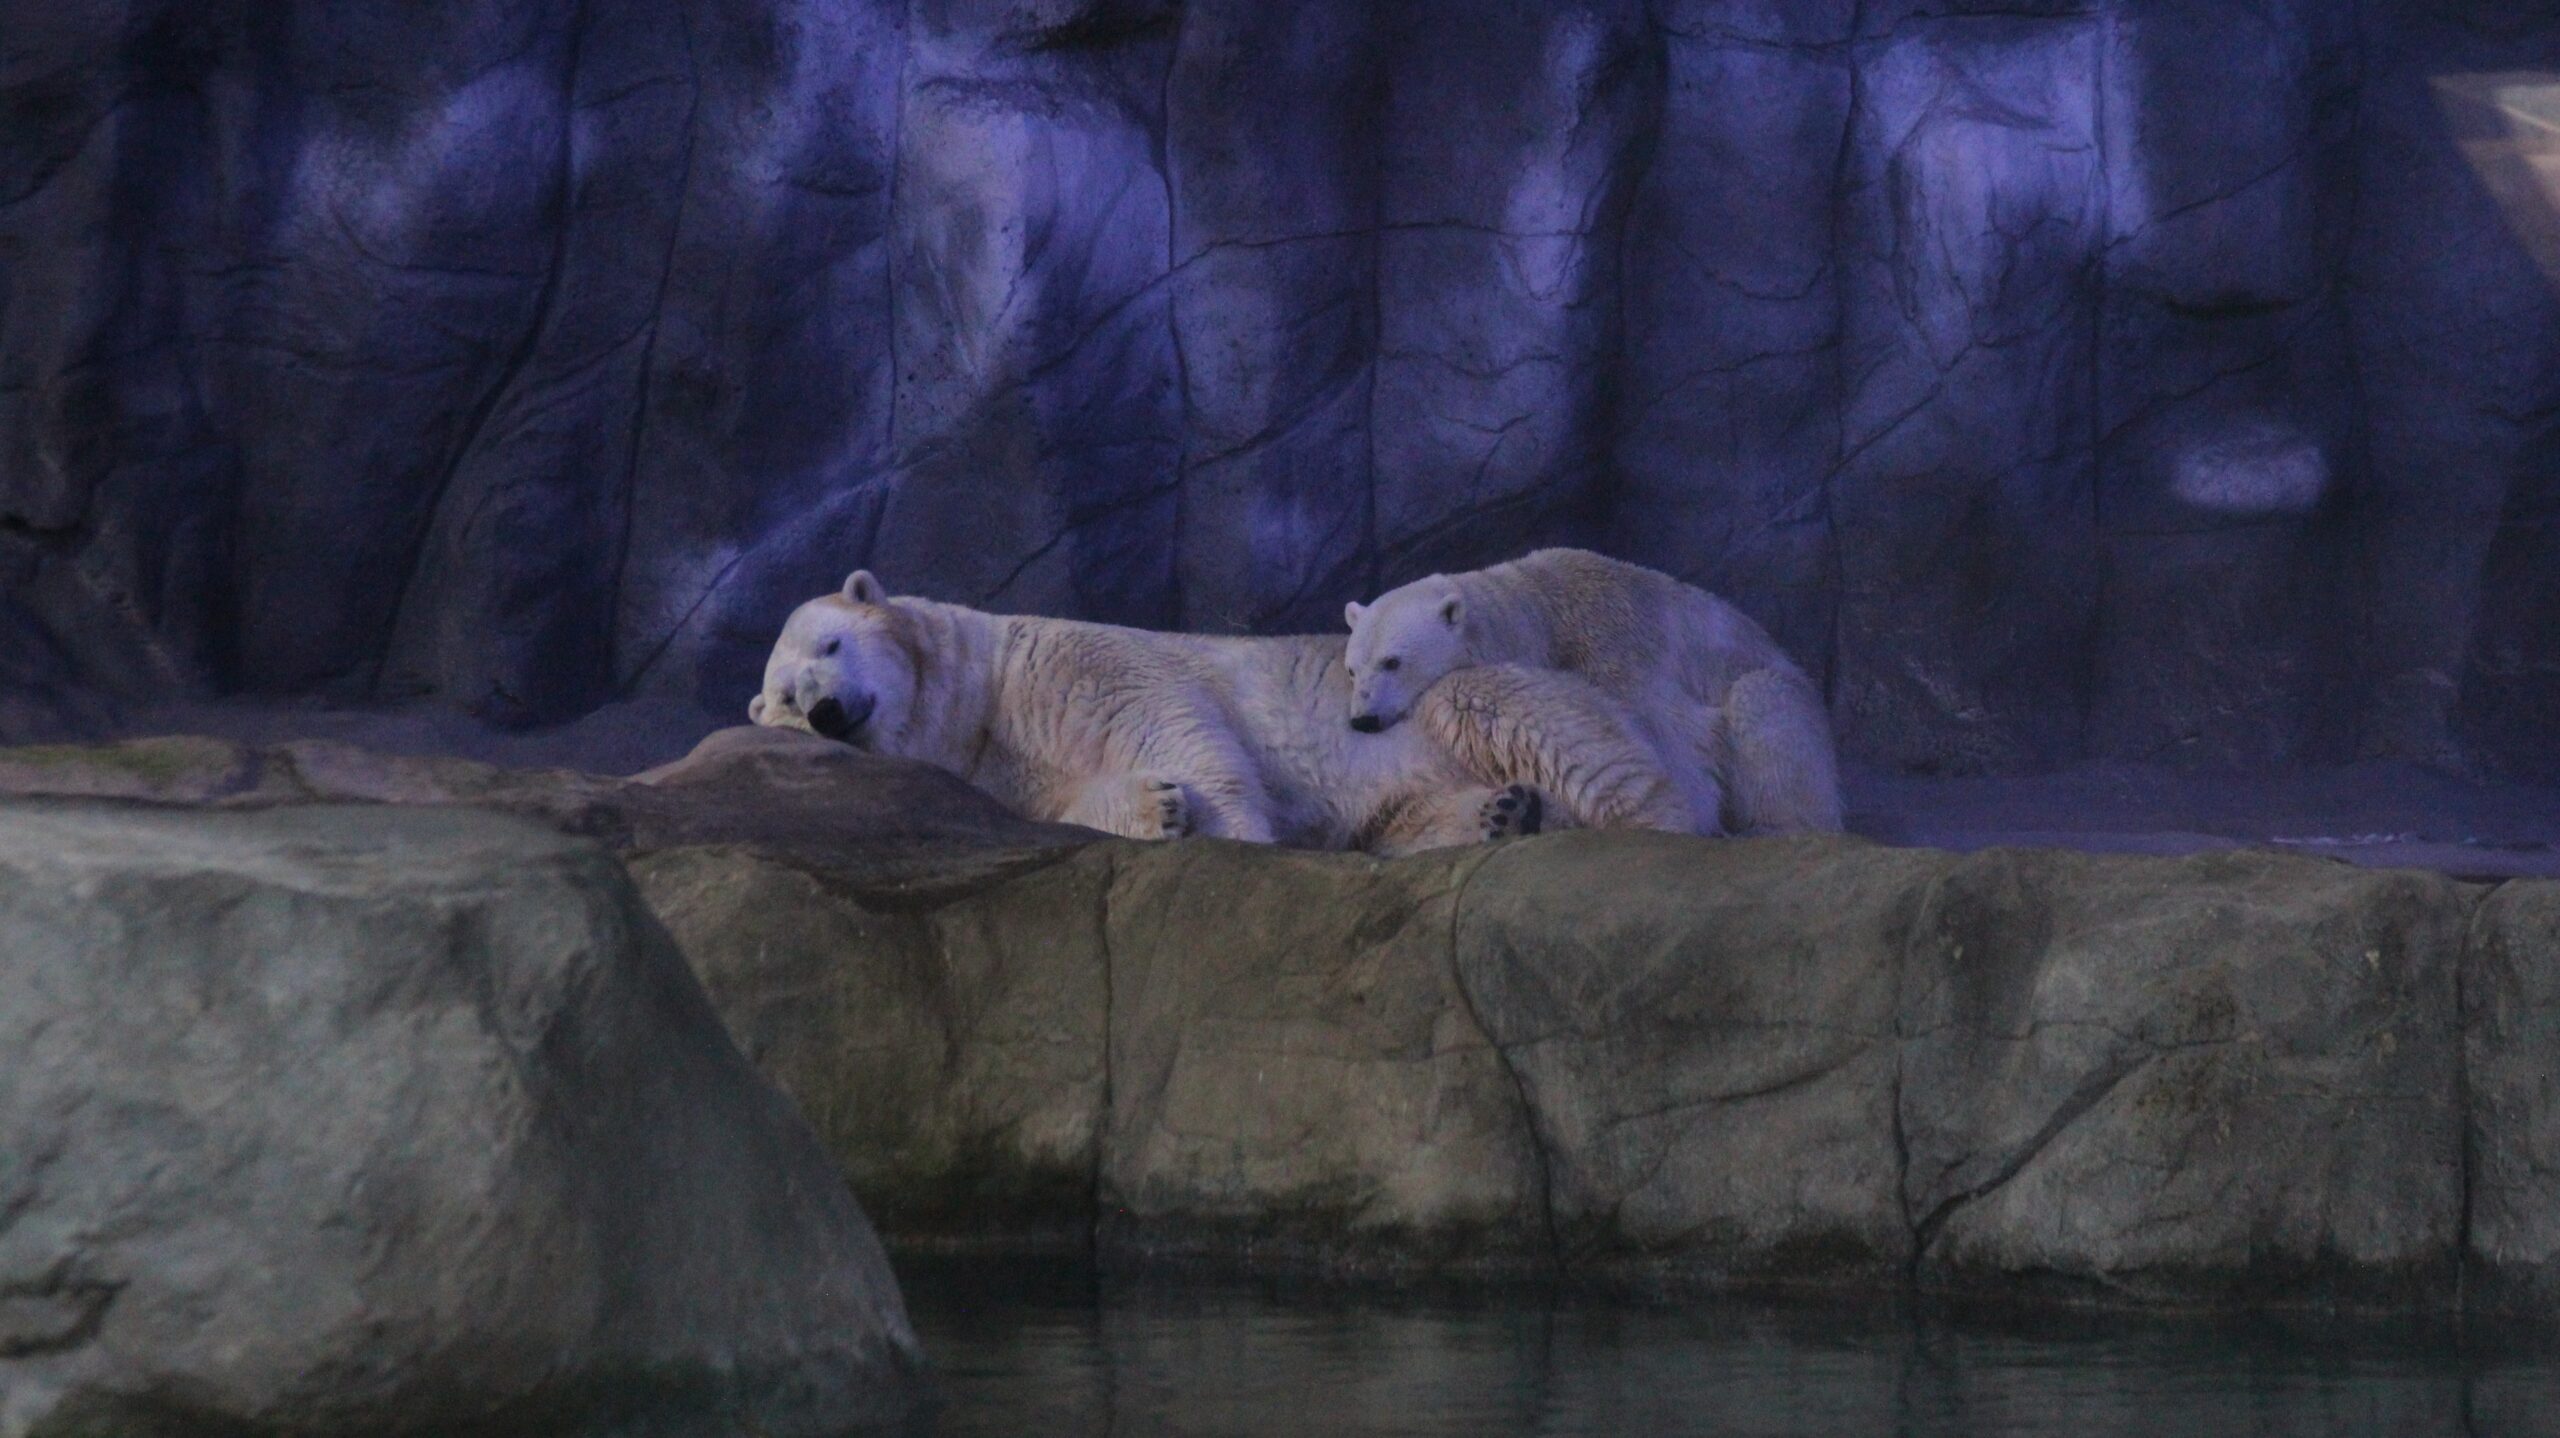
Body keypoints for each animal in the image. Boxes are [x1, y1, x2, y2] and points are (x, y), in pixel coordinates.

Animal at [748, 571, 1696, 856]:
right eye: (786, 699)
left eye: (831, 644)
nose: (827, 710)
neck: (986, 692)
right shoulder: (999, 770)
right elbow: (1066, 801)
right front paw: (1156, 806)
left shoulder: (1070, 662)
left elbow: (1174, 720)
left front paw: (1231, 834)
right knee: (1411, 818)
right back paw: (1505, 813)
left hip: (1439, 704)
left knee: (1532, 724)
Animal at [1342, 547, 1843, 836]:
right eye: (1352, 669)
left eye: (1393, 661)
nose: (1362, 719)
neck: (1543, 614)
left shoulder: (1617, 657)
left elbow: (1677, 757)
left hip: (1776, 690)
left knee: (1764, 714)